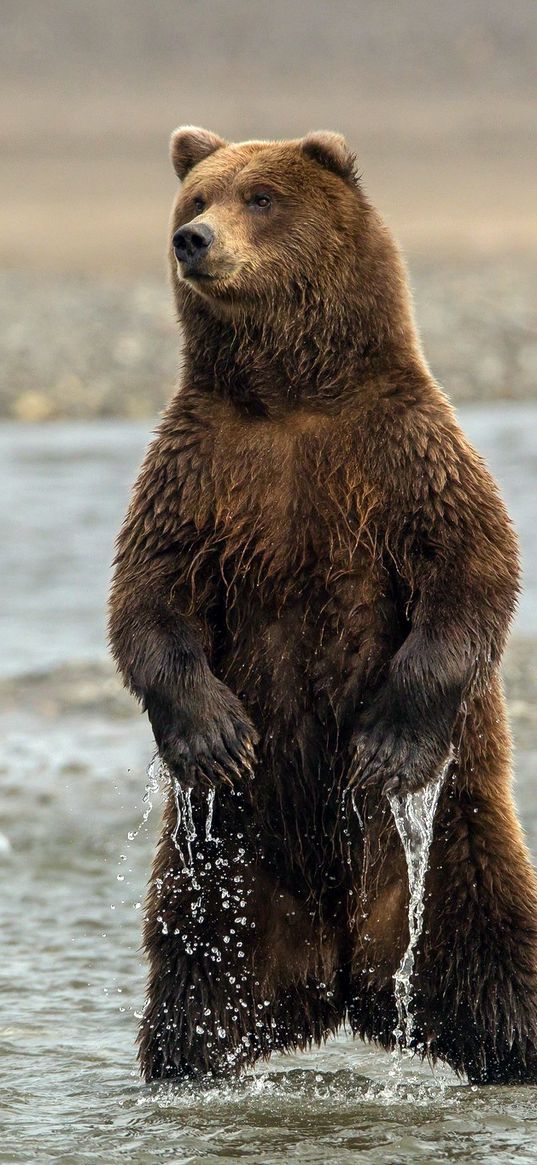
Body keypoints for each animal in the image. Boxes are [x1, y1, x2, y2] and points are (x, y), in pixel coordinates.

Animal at [106, 125, 535, 1081]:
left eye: (260, 197)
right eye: (198, 196)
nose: (193, 240)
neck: (290, 396)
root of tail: (342, 971)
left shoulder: (402, 454)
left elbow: (472, 571)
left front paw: (387, 745)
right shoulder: (201, 473)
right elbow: (147, 598)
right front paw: (215, 735)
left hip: (454, 845)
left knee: (496, 961)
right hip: (222, 873)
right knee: (194, 987)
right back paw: (188, 1068)